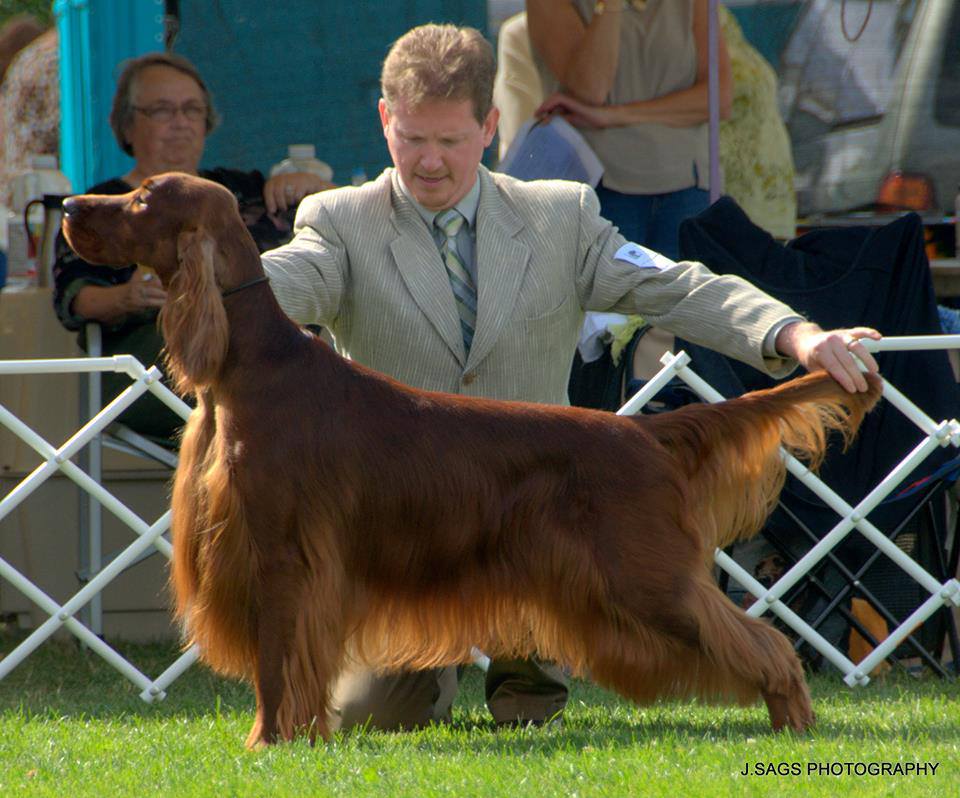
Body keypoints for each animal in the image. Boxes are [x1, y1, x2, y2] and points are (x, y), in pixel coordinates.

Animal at [63, 173, 880, 752]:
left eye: (141, 197)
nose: (68, 204)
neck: (252, 365)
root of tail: (649, 436)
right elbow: (297, 667)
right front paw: (297, 738)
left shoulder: (280, 553)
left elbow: (274, 663)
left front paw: (267, 744)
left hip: (647, 579)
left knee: (768, 643)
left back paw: (794, 724)